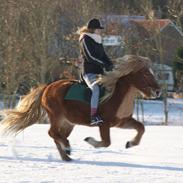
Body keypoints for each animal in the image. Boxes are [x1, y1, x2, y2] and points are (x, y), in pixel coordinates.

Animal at [0, 55, 160, 161]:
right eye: (145, 73)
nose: (158, 91)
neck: (116, 95)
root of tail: (47, 87)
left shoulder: (122, 121)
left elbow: (141, 128)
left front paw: (130, 143)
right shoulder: (104, 124)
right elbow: (106, 142)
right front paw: (89, 140)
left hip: (68, 122)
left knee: (58, 135)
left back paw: (66, 155)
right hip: (56, 116)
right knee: (52, 133)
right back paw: (67, 148)